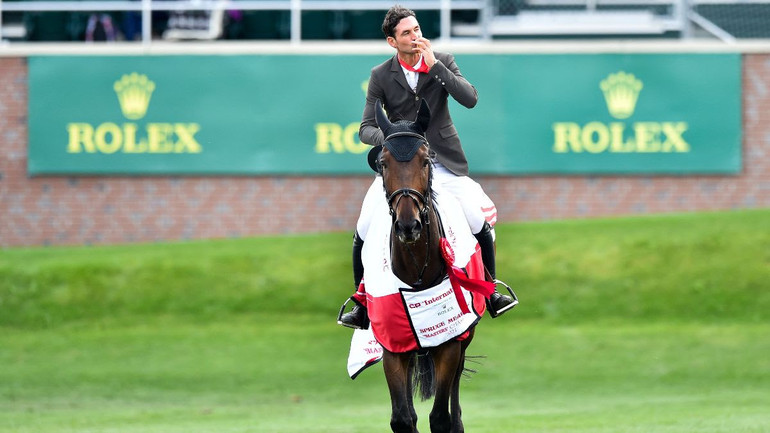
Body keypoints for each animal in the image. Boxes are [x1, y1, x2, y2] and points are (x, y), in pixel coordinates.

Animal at [368, 98, 476, 432]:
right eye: (383, 163)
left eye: (426, 160)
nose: (408, 226)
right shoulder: (393, 345)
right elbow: (403, 418)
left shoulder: (450, 342)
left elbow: (440, 417)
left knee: (454, 403)